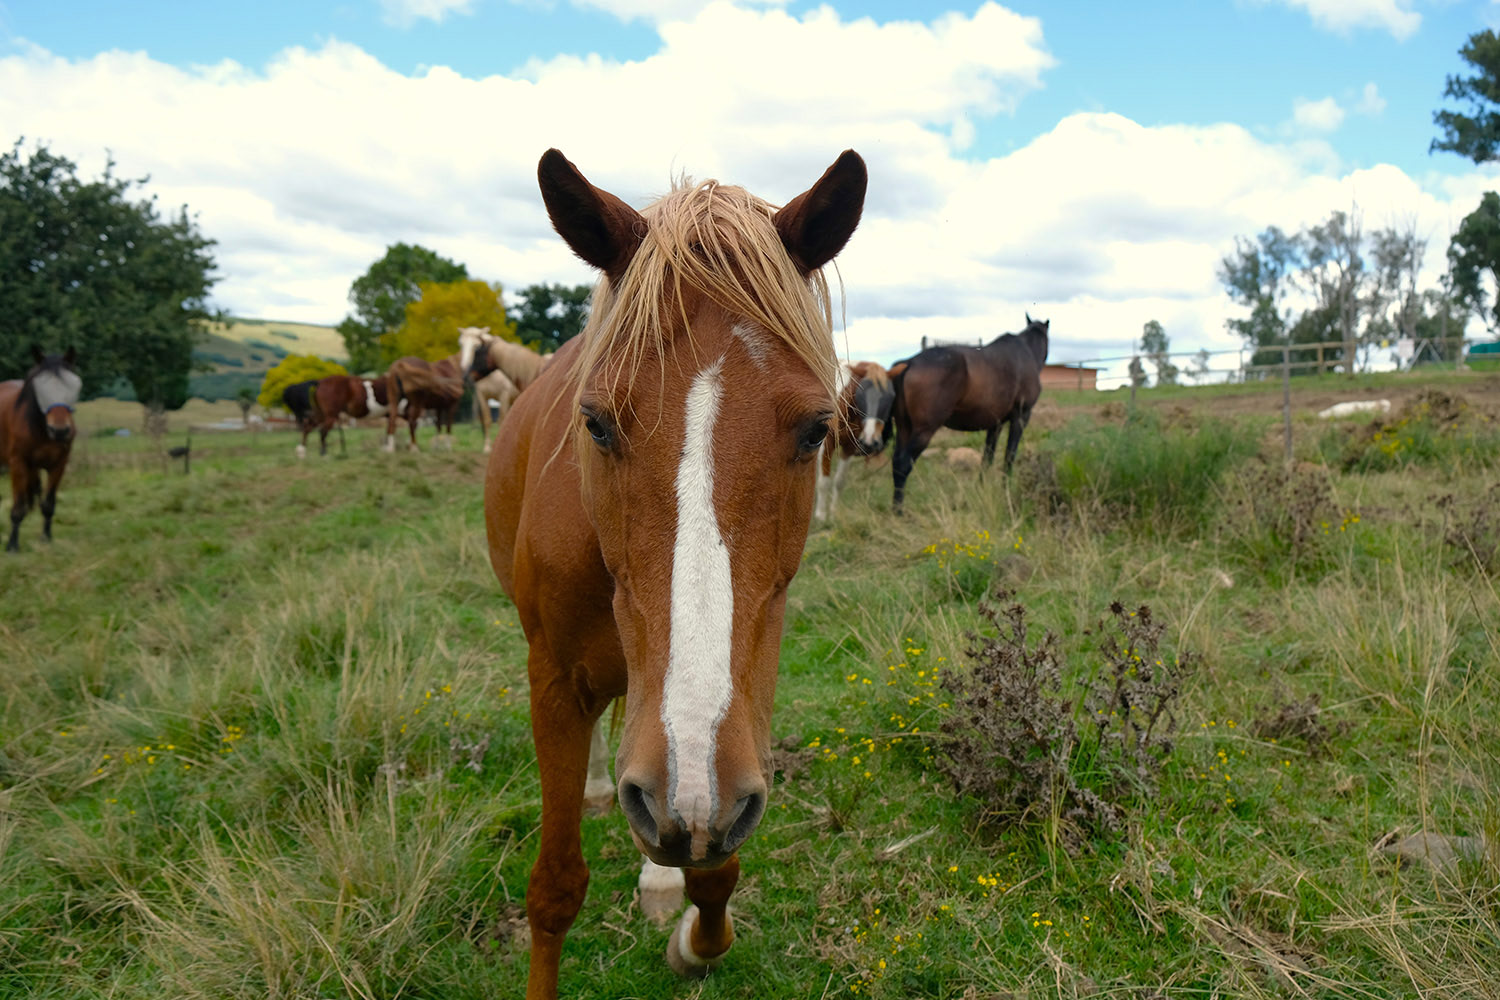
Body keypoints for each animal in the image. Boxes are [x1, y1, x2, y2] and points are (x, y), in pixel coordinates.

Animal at [1, 348, 82, 552]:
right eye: (40, 387)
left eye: (73, 385)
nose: (60, 431)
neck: (41, 430)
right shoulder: (18, 464)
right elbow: (18, 506)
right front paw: (12, 545)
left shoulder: (59, 465)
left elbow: (48, 504)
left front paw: (46, 538)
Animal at [484, 147, 865, 998]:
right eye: (594, 423)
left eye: (816, 429)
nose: (682, 793)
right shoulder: (553, 683)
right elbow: (553, 889)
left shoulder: (736, 732)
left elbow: (717, 867)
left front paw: (693, 938)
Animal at [814, 360, 895, 522]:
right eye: (861, 396)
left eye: (890, 397)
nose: (871, 441)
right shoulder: (826, 444)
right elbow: (824, 482)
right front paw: (820, 515)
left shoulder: (849, 447)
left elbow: (839, 481)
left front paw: (834, 512)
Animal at [885, 314, 1049, 513]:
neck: (1026, 352)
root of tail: (909, 363)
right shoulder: (1021, 417)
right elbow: (1009, 456)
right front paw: (1006, 492)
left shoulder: (996, 424)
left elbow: (987, 457)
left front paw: (981, 490)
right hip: (923, 430)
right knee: (903, 463)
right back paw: (899, 512)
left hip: (904, 427)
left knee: (896, 463)